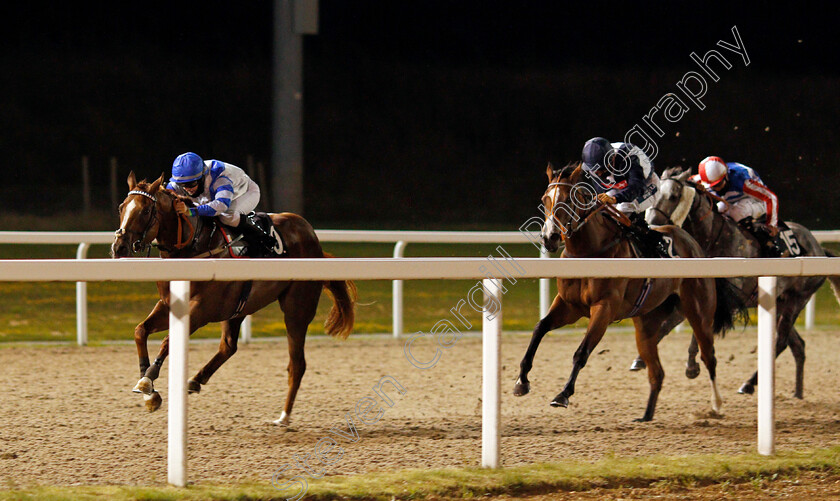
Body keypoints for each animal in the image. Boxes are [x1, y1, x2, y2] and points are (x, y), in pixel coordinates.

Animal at [110, 172, 354, 426]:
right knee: (228, 346)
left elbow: (168, 341)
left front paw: (148, 380)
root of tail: (314, 240)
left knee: (297, 364)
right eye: (121, 207)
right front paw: (149, 390)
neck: (194, 246)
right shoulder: (168, 304)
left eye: (146, 211)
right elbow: (140, 330)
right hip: (238, 307)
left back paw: (284, 416)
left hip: (297, 309)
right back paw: (195, 380)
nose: (119, 247)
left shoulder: (200, 311)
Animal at [512, 162, 740, 420]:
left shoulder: (604, 308)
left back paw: (717, 404)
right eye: (545, 199)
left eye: (569, 199)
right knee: (657, 372)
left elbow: (581, 352)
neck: (589, 251)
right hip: (647, 322)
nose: (549, 237)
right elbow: (539, 328)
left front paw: (563, 394)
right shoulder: (568, 306)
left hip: (699, 312)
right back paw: (646, 416)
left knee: (708, 356)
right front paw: (521, 381)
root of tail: (694, 244)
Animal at [636, 166, 840, 396]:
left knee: (779, 342)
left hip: (797, 299)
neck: (713, 241)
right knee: (797, 344)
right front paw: (641, 359)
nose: (651, 224)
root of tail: (819, 248)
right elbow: (669, 324)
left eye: (672, 196)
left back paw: (749, 383)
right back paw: (797, 393)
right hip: (779, 302)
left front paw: (692, 366)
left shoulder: (728, 299)